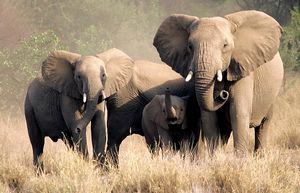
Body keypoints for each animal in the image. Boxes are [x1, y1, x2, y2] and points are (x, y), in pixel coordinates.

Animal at [155, 10, 284, 155]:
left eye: (225, 45)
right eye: (190, 46)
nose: (222, 94)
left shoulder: (243, 70)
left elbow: (238, 112)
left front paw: (240, 159)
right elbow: (208, 117)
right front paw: (215, 157)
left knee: (263, 126)